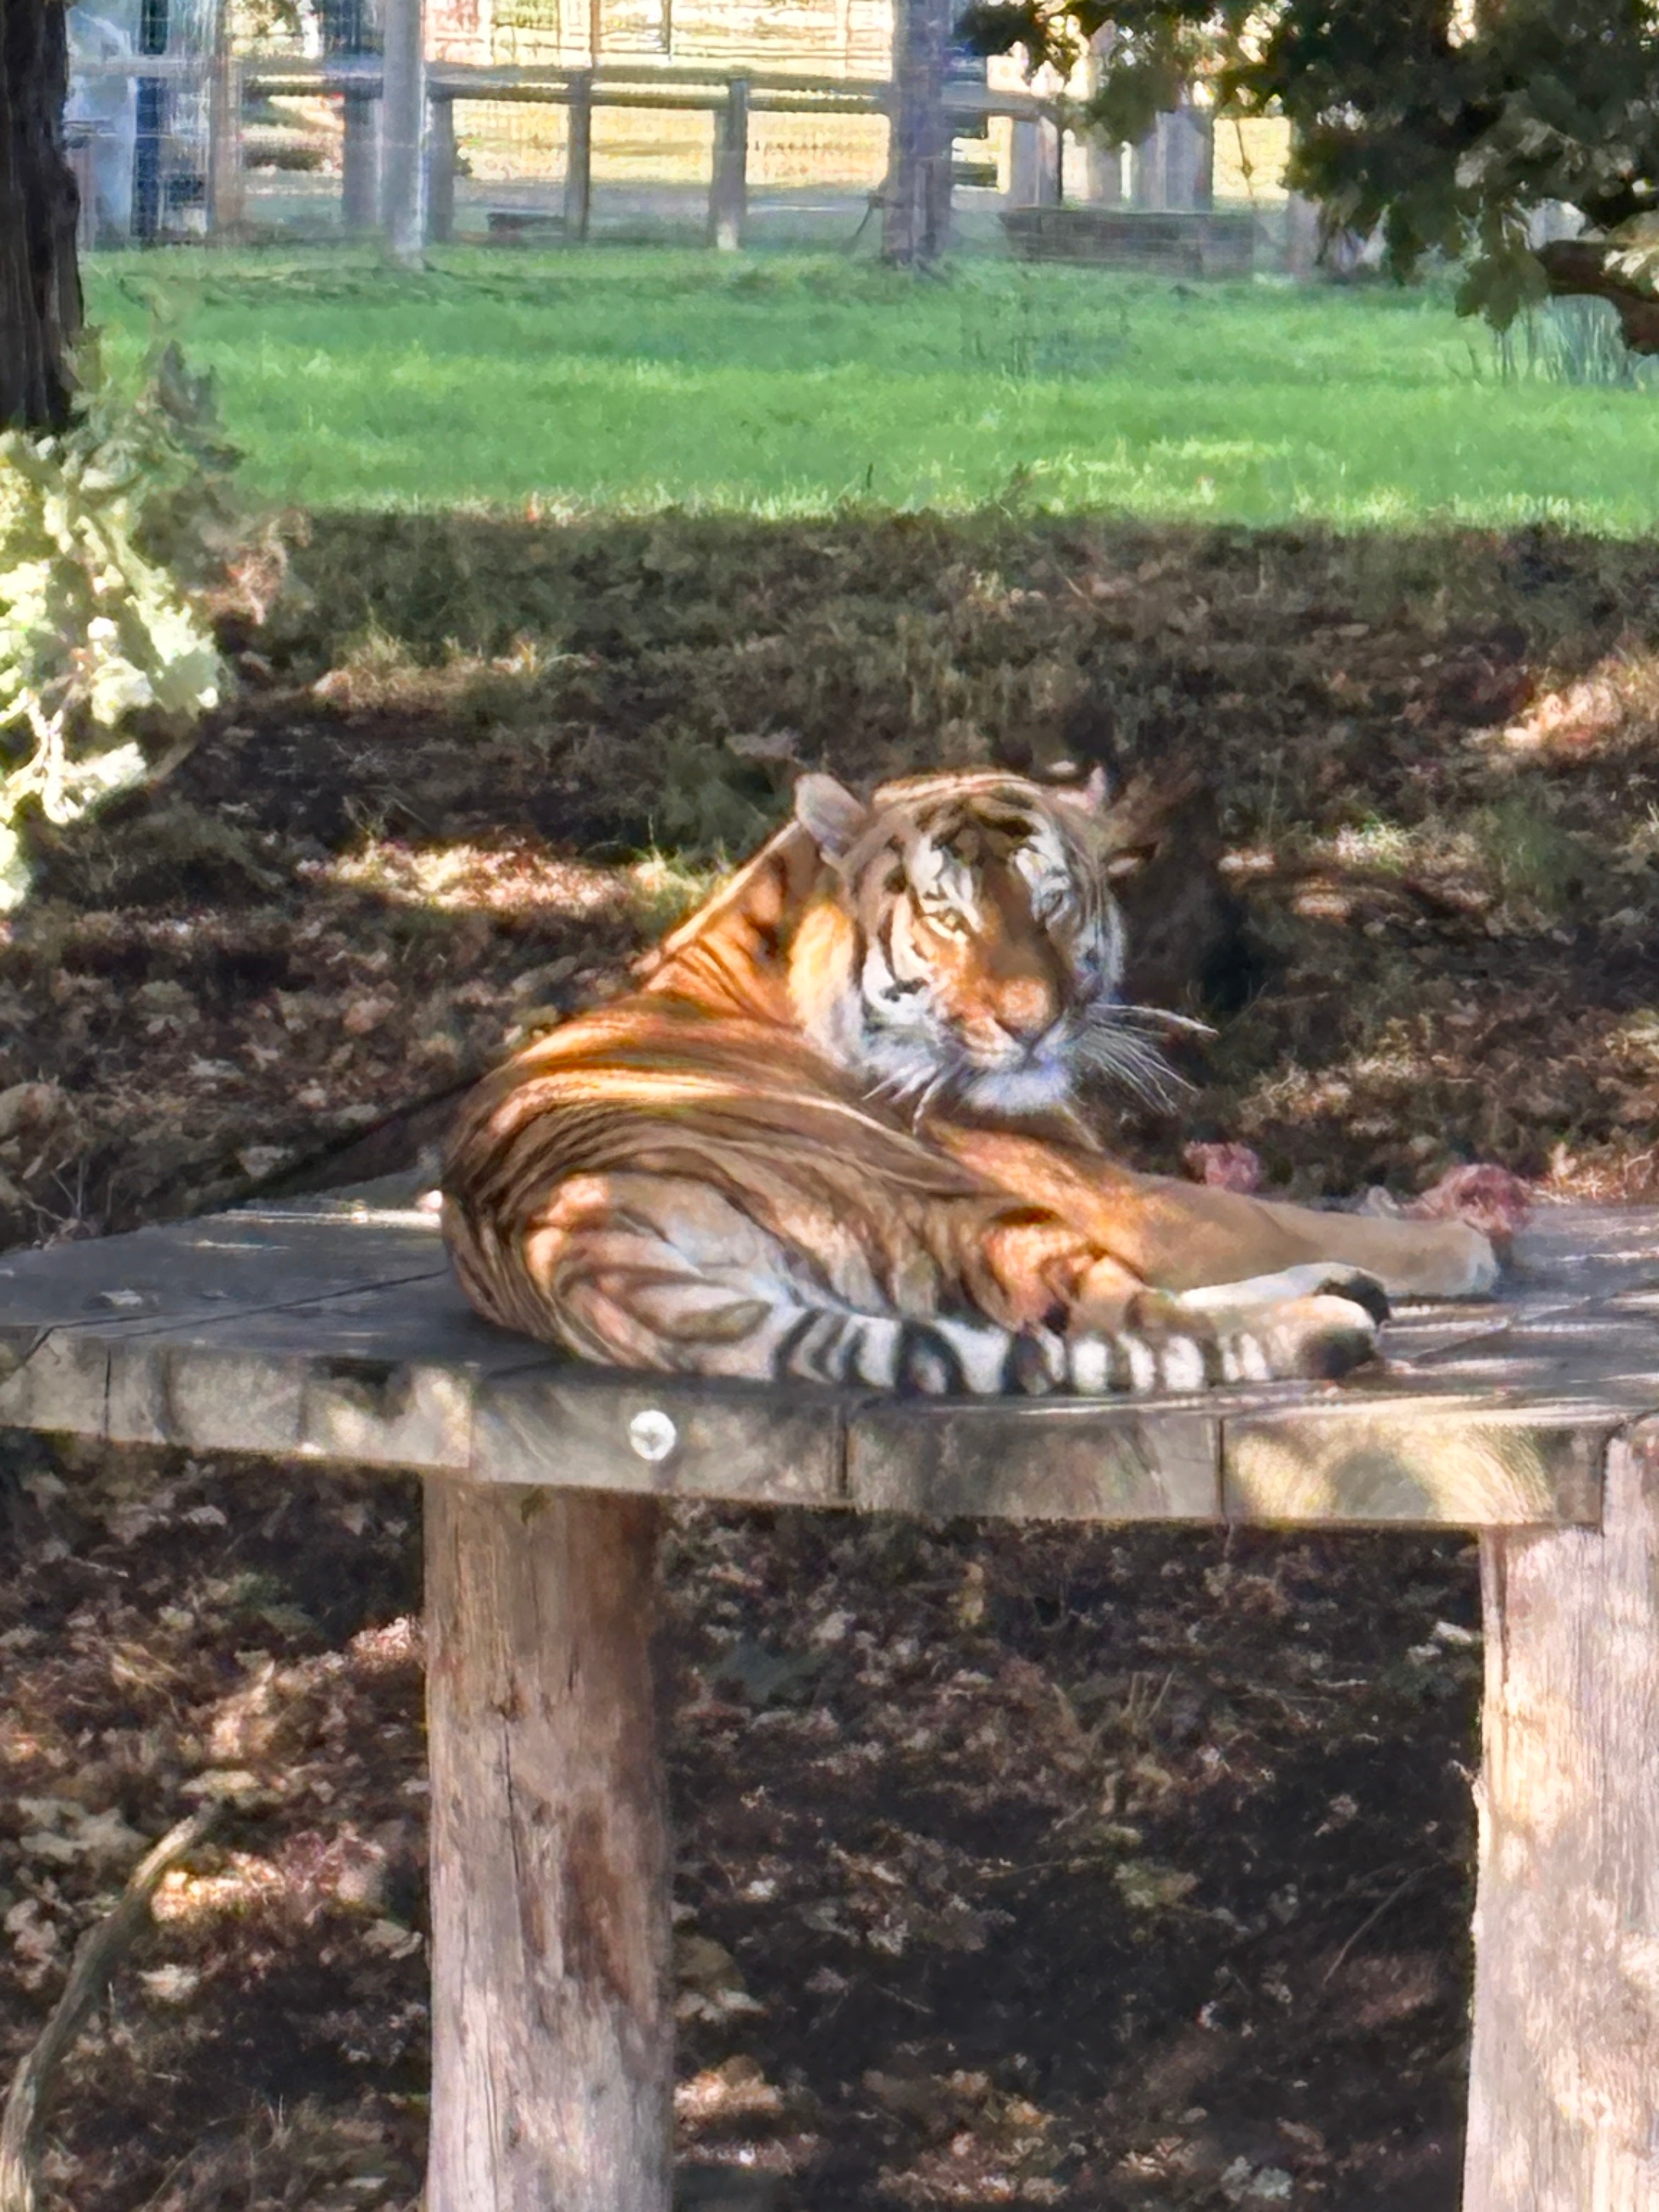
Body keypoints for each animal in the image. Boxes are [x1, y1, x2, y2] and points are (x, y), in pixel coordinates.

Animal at [441, 768, 1498, 1398]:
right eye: (947, 917)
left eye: (1050, 901)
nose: (1029, 1024)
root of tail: (575, 1245)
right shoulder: (1120, 1196)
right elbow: (1279, 1213)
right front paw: (1459, 1242)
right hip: (958, 1207)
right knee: (1135, 1318)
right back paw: (1333, 1313)